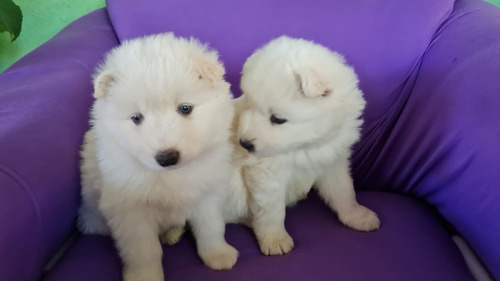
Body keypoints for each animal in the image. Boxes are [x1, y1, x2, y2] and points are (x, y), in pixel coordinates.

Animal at [78, 33, 238, 280]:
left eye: (185, 108)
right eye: (136, 118)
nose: (167, 158)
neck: (171, 174)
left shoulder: (208, 192)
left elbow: (211, 227)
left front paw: (218, 254)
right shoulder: (131, 211)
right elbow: (144, 249)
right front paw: (145, 276)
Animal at [236, 36, 380, 255]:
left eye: (277, 119)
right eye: (249, 104)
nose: (244, 143)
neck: (306, 145)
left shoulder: (333, 161)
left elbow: (344, 191)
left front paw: (356, 216)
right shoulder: (268, 173)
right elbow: (271, 210)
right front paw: (274, 238)